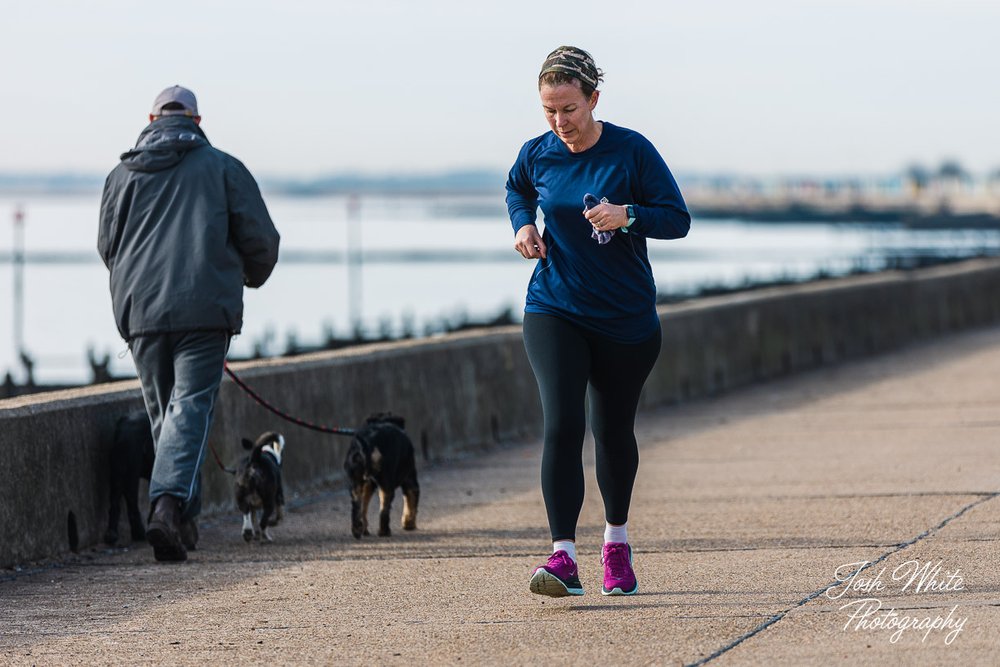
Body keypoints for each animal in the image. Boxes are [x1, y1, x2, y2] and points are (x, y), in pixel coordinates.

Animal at [104, 412, 156, 548]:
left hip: (117, 471)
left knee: (116, 501)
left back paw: (112, 535)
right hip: (130, 473)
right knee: (132, 502)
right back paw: (140, 534)